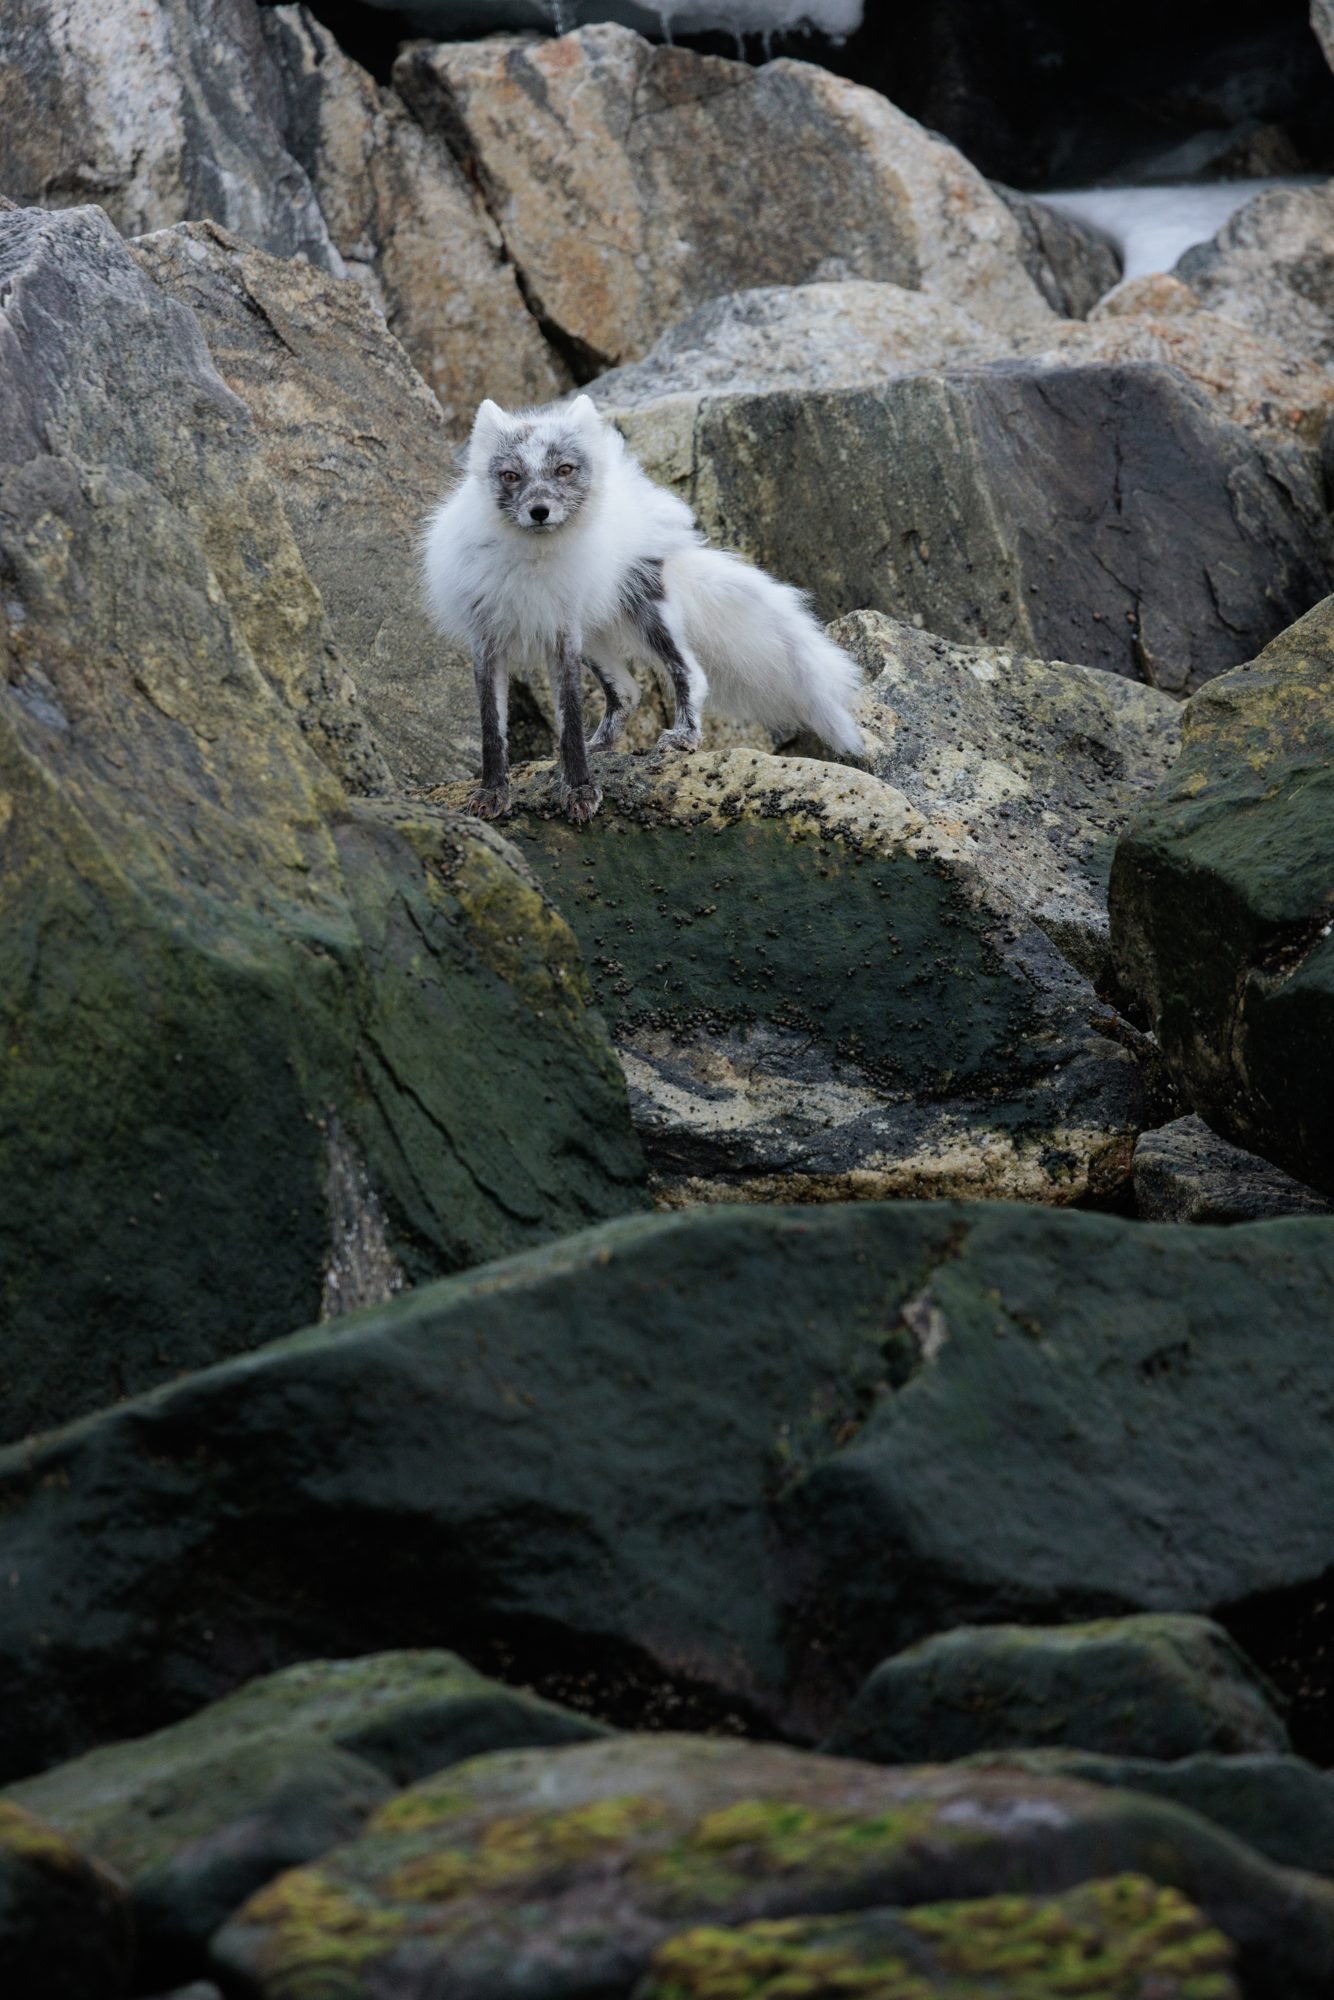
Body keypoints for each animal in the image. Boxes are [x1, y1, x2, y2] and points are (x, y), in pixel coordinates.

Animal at [422, 393, 864, 822]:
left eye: (564, 470)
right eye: (511, 476)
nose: (539, 511)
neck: (530, 563)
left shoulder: (563, 637)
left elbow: (569, 719)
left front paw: (579, 789)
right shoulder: (489, 640)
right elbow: (491, 729)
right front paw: (492, 793)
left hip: (646, 612)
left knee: (689, 671)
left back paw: (684, 736)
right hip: (592, 634)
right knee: (628, 691)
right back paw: (600, 744)